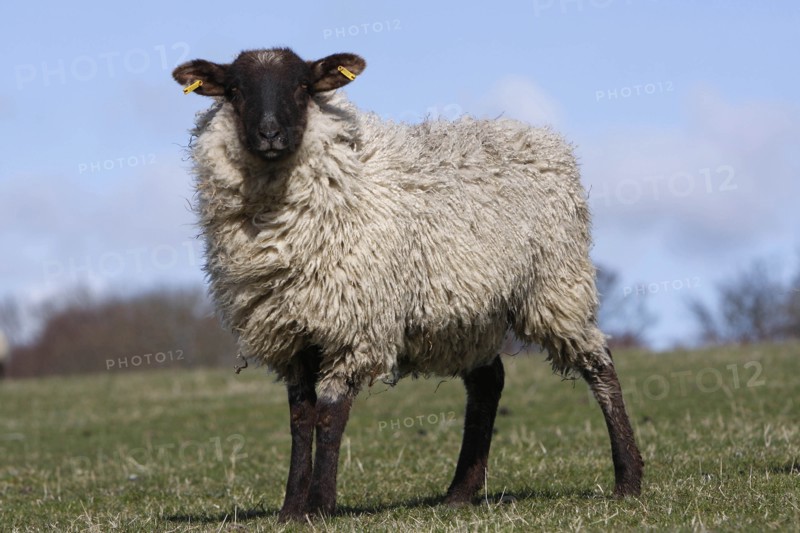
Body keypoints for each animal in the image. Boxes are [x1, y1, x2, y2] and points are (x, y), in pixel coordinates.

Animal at [173, 47, 643, 520]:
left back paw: (628, 480)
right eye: (234, 90)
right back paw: (459, 493)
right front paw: (291, 510)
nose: (270, 134)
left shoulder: (353, 327)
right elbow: (300, 419)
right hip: (467, 311)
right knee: (488, 382)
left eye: (303, 86)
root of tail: (540, 137)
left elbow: (329, 415)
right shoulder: (291, 334)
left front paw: (320, 506)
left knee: (599, 364)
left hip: (554, 286)